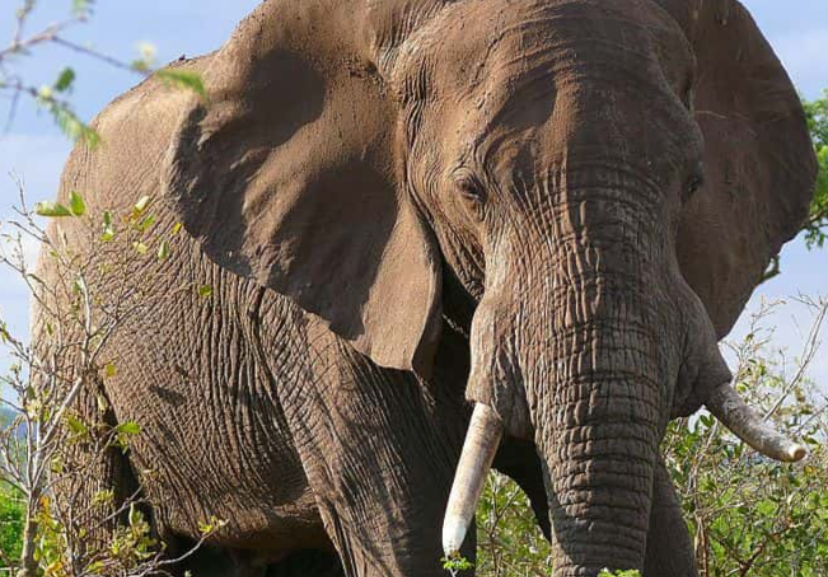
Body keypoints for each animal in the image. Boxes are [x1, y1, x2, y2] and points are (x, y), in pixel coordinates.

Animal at [35, 0, 816, 575]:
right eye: (471, 190)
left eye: (693, 182)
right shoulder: (320, 297)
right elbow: (404, 524)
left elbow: (657, 524)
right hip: (70, 344)